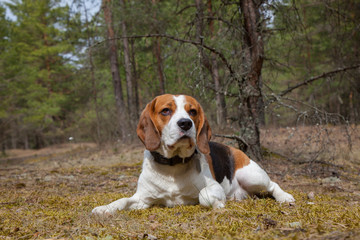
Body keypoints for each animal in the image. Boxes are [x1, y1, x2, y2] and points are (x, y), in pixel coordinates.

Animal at [91, 94, 294, 216]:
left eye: (193, 111)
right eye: (166, 110)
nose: (185, 123)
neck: (172, 167)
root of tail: (236, 149)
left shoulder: (213, 187)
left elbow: (204, 195)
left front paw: (218, 204)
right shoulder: (142, 199)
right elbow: (122, 200)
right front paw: (105, 208)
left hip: (251, 176)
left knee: (273, 185)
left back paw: (285, 197)